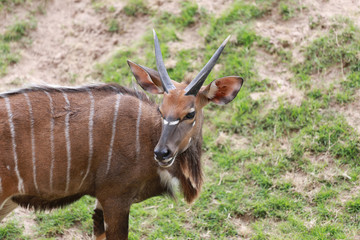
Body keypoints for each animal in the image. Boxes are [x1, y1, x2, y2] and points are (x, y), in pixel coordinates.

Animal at [0, 30, 245, 240]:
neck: (148, 134)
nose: (162, 153)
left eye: (190, 113)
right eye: (161, 110)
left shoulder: (102, 201)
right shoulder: (115, 198)